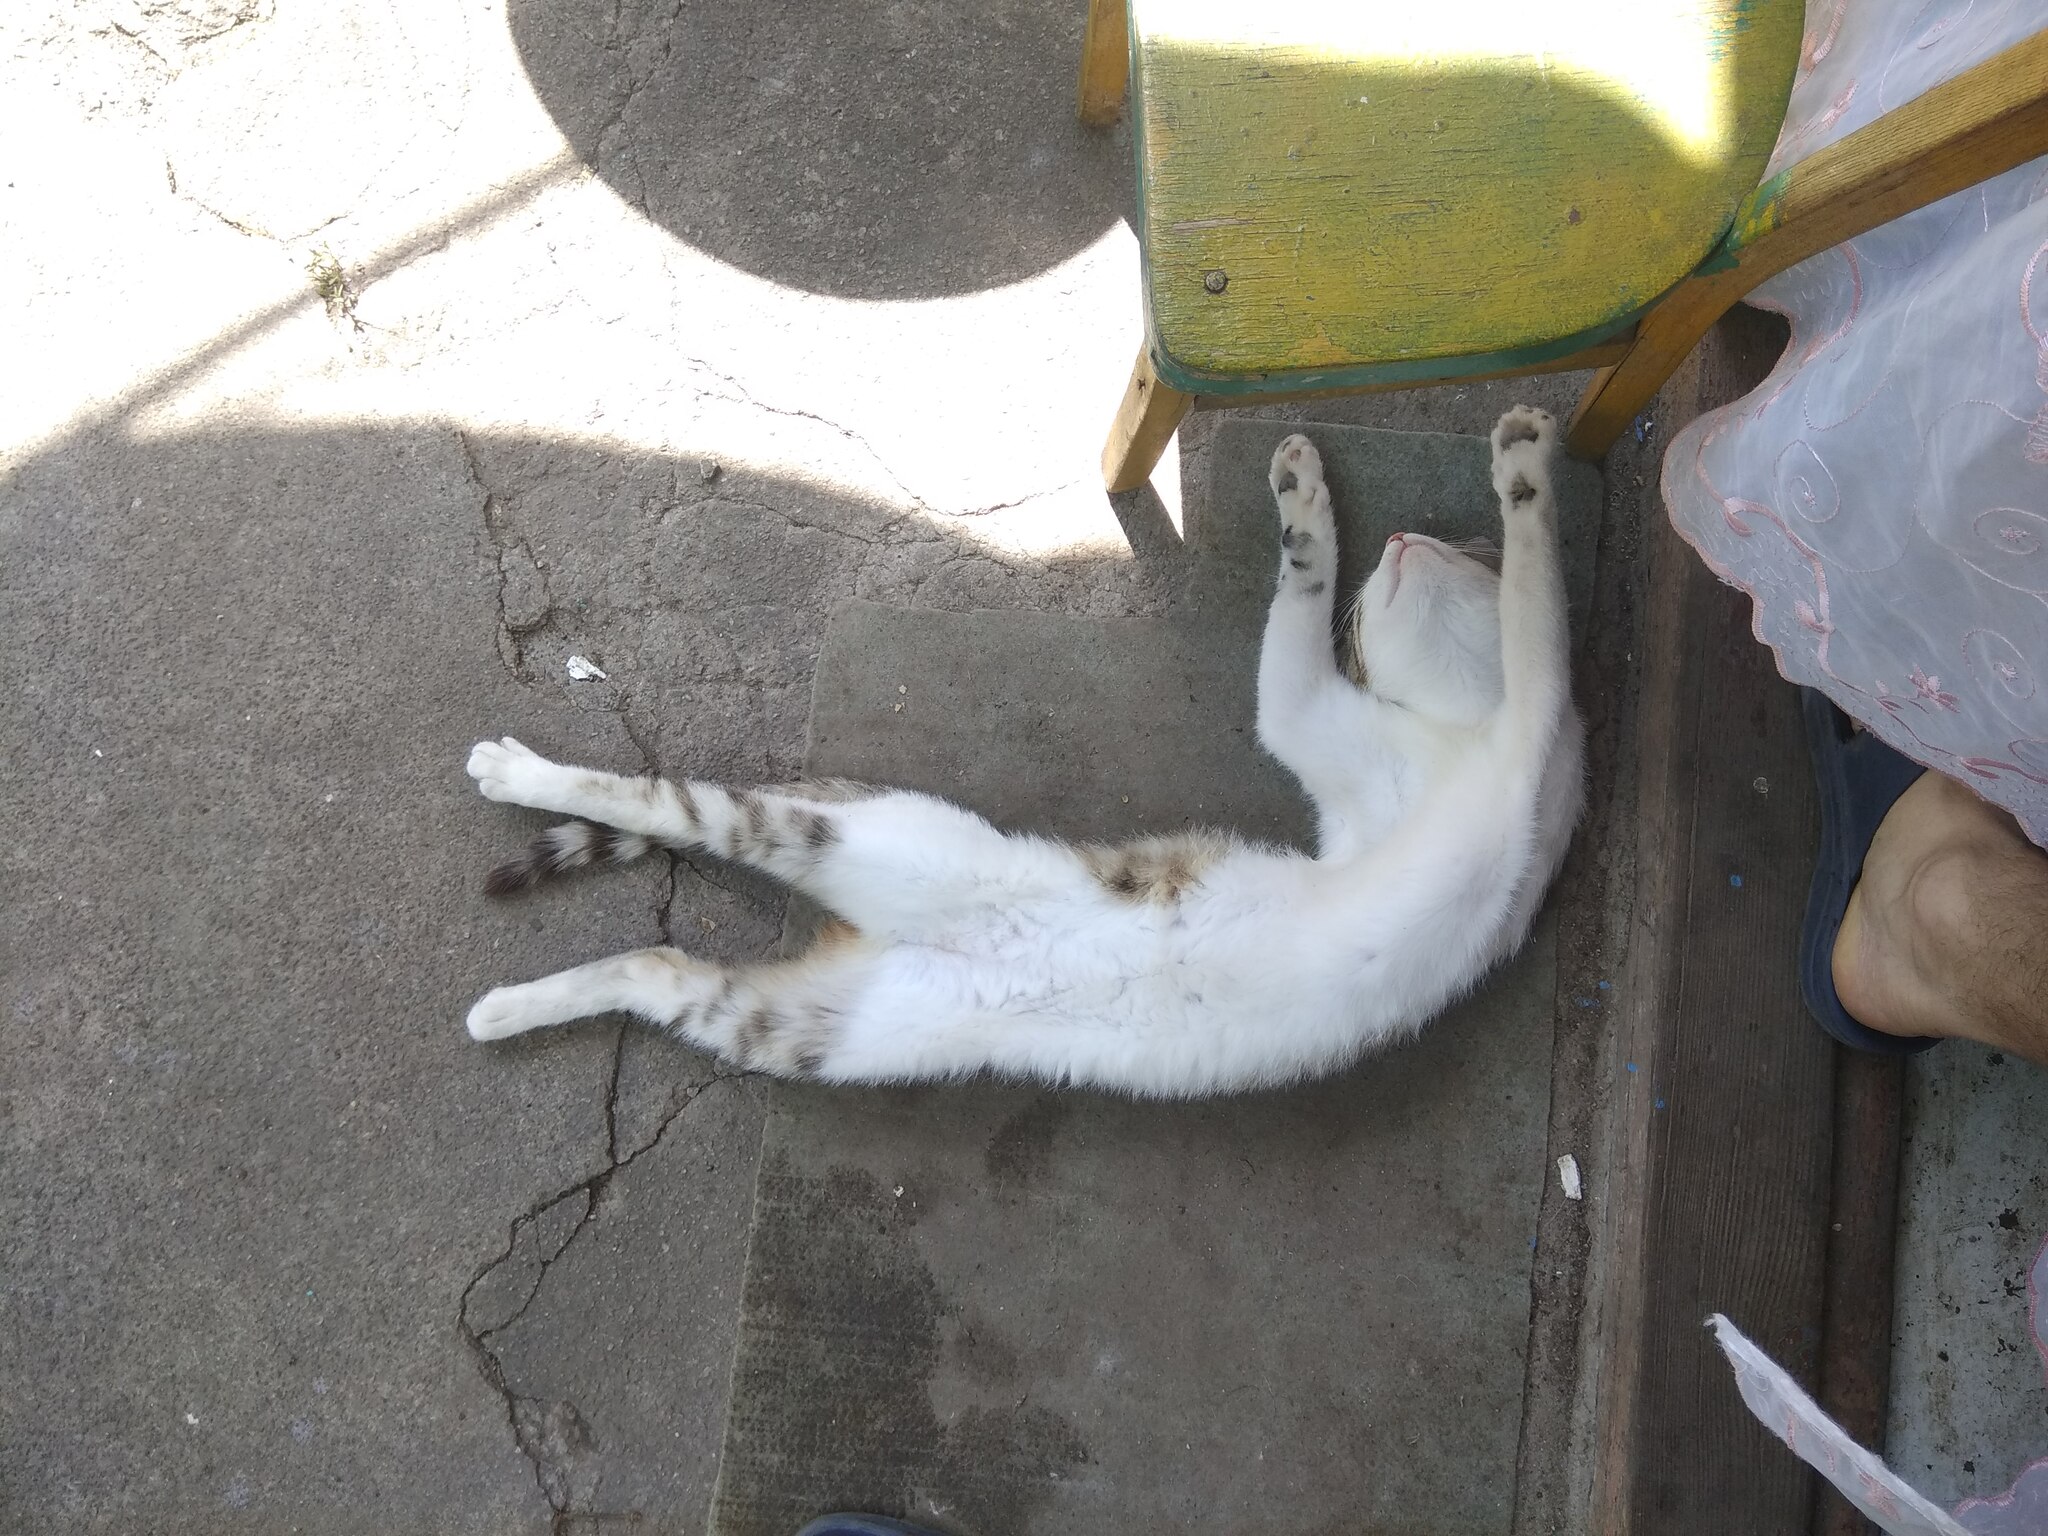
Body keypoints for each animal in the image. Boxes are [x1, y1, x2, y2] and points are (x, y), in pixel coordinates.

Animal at [461, 406, 1585, 1097]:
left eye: (1452, 550)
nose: (1402, 540)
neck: (1454, 737)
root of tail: (901, 933)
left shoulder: (1514, 757)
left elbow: (1532, 632)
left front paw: (1510, 481)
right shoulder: (1366, 736)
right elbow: (1519, 618)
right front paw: (1338, 501)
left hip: (814, 1027)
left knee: (657, 958)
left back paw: (501, 1007)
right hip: (850, 849)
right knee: (659, 804)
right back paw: (517, 778)